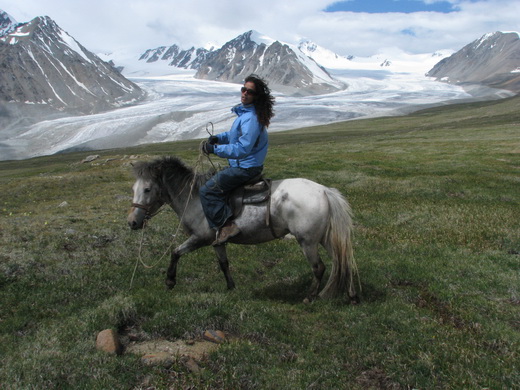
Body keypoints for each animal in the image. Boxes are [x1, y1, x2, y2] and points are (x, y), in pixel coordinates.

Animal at [128, 155, 360, 302]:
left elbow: (176, 252)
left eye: (147, 189)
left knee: (319, 267)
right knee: (343, 261)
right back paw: (351, 296)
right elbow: (224, 264)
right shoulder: (217, 241)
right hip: (325, 239)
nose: (132, 222)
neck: (193, 198)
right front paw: (231, 287)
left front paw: (170, 281)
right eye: (133, 188)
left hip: (308, 241)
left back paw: (310, 297)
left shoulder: (200, 238)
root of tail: (324, 191)